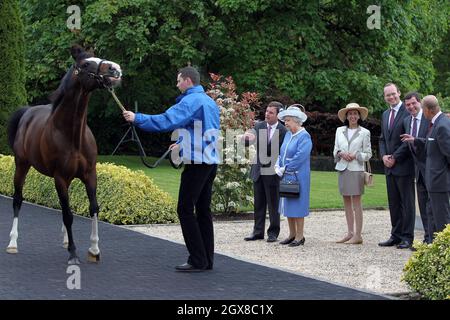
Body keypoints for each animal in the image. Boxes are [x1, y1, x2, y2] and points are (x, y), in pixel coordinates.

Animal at [7, 45, 123, 264]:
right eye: (85, 64)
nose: (116, 70)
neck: (72, 135)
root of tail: (27, 113)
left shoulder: (89, 175)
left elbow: (93, 208)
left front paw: (94, 250)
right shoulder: (60, 177)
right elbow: (68, 215)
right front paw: (73, 253)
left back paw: (65, 240)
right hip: (21, 165)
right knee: (18, 200)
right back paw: (12, 244)